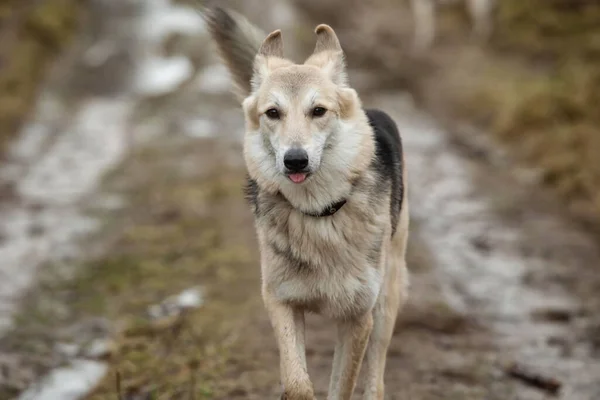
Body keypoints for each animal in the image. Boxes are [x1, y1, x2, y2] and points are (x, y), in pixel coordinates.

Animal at [200, 1, 488, 398]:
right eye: (273, 113)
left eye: (318, 111)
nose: (295, 160)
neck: (319, 213)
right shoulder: (281, 301)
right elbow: (297, 383)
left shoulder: (357, 317)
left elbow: (343, 386)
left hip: (386, 302)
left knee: (375, 379)